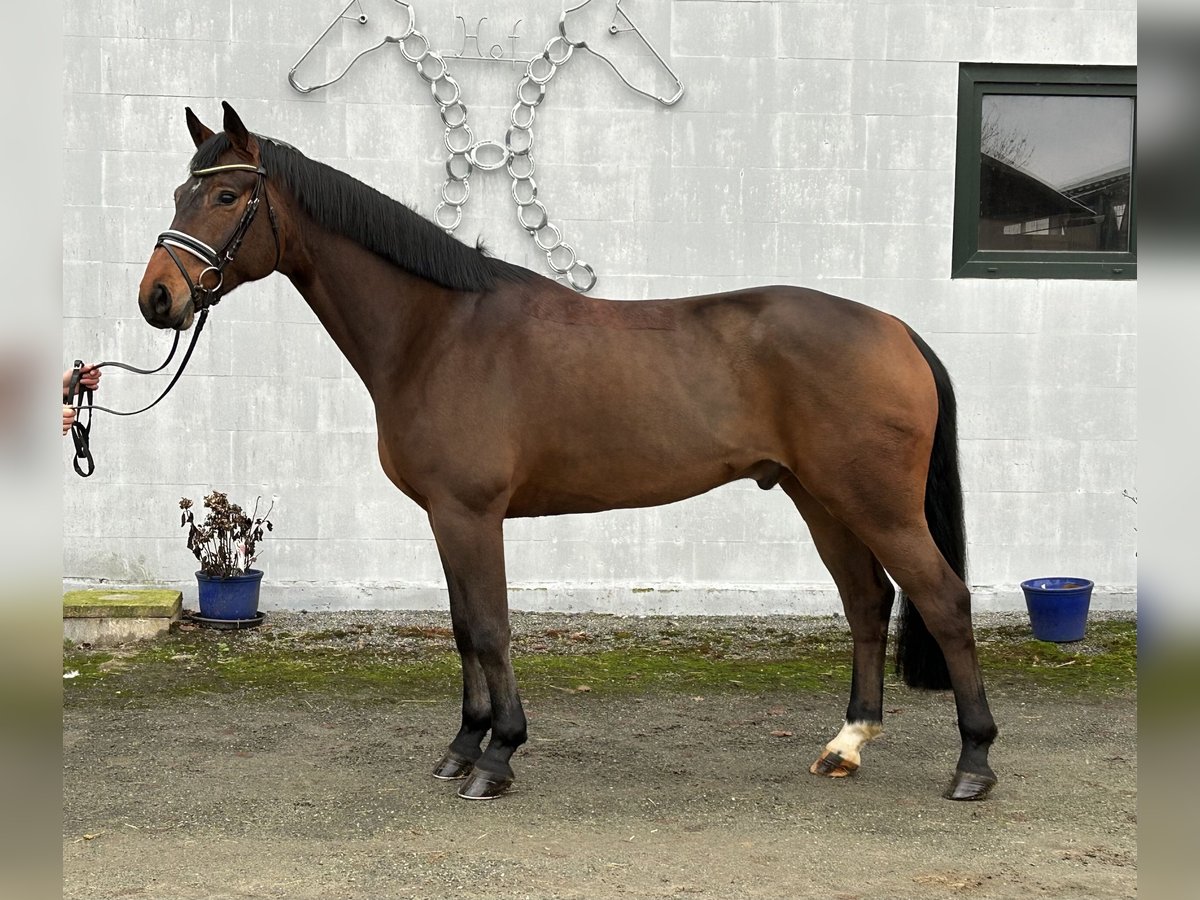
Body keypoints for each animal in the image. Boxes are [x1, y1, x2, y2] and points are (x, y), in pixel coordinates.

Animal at [138, 103, 1003, 801]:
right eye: (180, 193)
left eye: (226, 196)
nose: (157, 299)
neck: (436, 332)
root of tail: (896, 329)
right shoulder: (444, 517)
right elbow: (463, 627)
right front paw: (462, 747)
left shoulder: (471, 513)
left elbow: (491, 629)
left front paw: (497, 759)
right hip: (818, 497)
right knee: (868, 602)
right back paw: (846, 746)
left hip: (874, 503)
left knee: (944, 601)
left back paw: (974, 764)